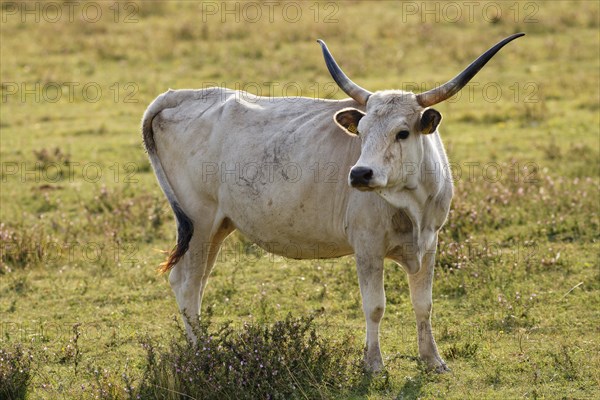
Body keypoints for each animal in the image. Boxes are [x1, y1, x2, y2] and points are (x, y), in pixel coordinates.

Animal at [143, 33, 524, 372]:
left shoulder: (430, 242)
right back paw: (202, 354)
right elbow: (375, 306)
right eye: (361, 132)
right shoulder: (367, 246)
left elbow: (423, 304)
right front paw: (373, 364)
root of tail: (183, 95)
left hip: (217, 227)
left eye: (402, 132)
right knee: (186, 283)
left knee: (196, 283)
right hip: (200, 222)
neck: (411, 205)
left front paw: (433, 360)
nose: (360, 173)